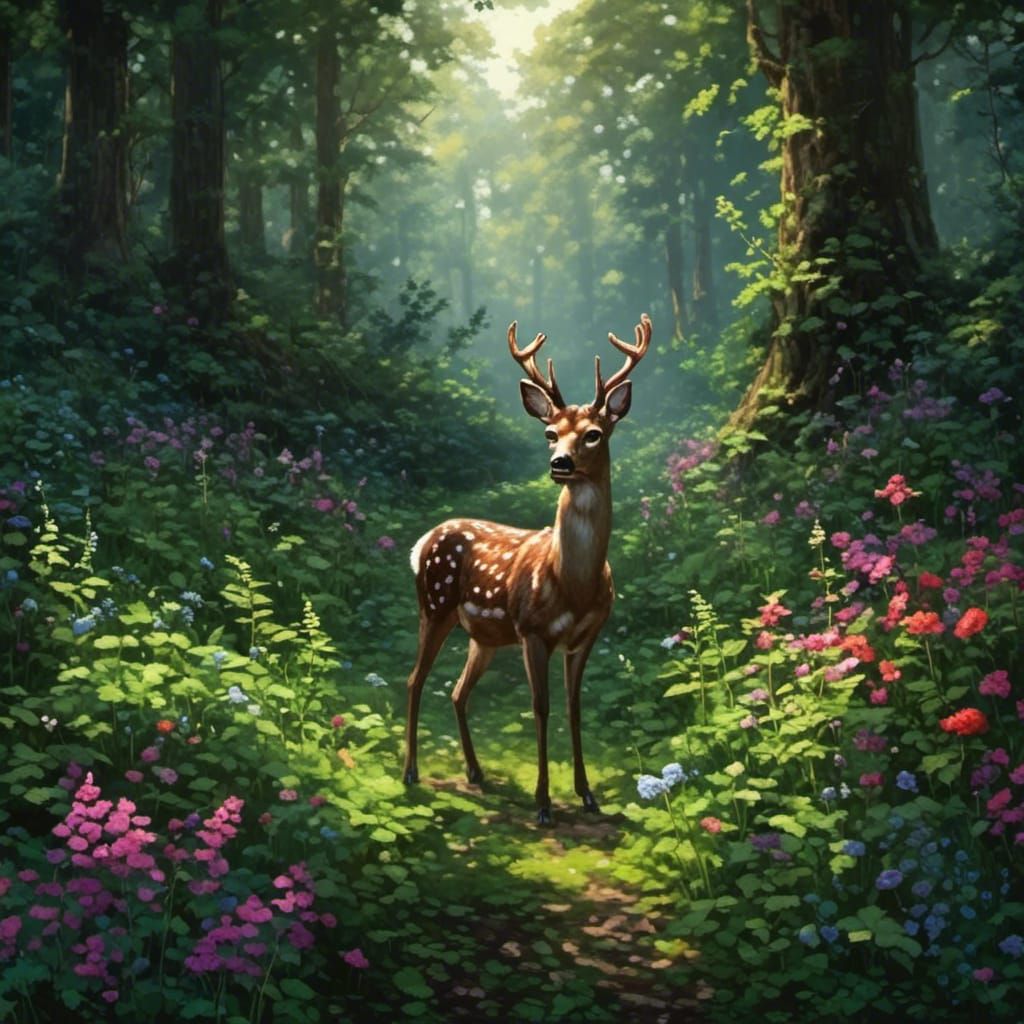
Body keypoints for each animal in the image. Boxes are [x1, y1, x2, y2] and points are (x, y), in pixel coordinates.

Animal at [402, 313, 651, 824]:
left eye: (594, 433)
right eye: (550, 433)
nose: (560, 463)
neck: (573, 583)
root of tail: (422, 543)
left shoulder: (587, 635)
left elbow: (575, 707)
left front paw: (587, 795)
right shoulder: (532, 629)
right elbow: (542, 707)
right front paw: (543, 803)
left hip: (482, 636)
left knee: (457, 691)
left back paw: (476, 772)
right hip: (434, 606)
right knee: (415, 680)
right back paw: (411, 772)